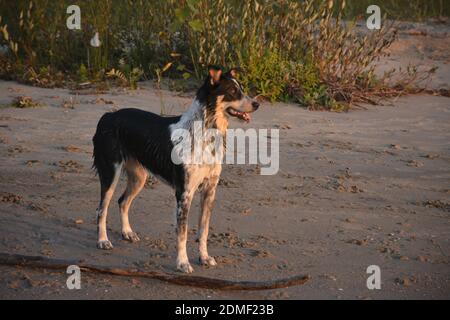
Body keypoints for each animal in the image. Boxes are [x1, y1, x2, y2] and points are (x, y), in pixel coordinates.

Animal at [92, 65, 260, 272]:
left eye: (242, 89)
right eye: (232, 91)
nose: (257, 104)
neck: (205, 133)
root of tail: (108, 116)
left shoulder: (209, 191)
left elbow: (203, 230)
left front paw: (204, 257)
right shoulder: (184, 193)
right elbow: (183, 233)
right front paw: (182, 263)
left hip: (139, 177)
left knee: (122, 201)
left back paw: (127, 232)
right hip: (111, 173)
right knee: (102, 209)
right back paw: (103, 240)